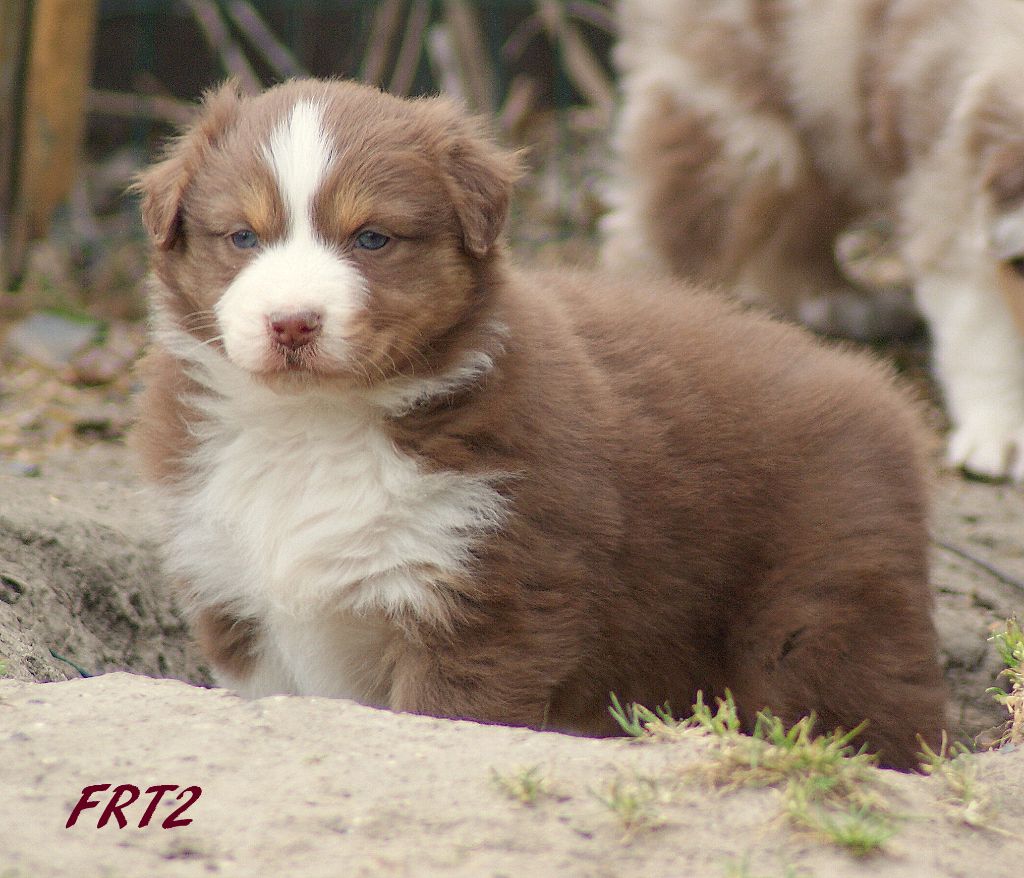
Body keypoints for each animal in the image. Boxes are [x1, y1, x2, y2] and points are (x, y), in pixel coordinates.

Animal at [133, 78, 945, 769]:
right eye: (243, 237)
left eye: (371, 239)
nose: (292, 323)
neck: (313, 426)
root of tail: (874, 387)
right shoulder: (238, 602)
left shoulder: (487, 600)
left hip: (820, 611)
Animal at [602, 0, 1024, 483]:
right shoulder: (948, 180)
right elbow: (984, 324)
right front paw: (1003, 431)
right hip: (735, 119)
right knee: (661, 227)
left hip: (828, 117)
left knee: (795, 227)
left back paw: (848, 304)